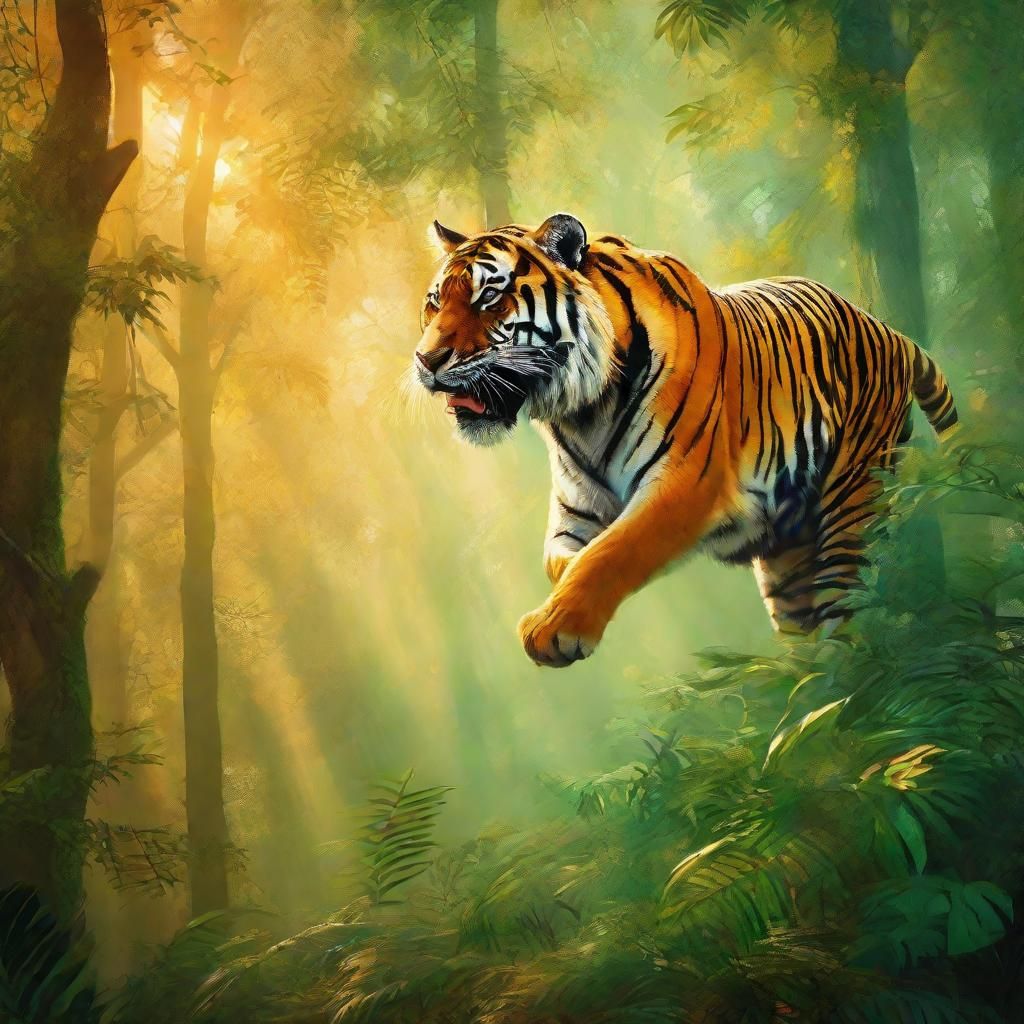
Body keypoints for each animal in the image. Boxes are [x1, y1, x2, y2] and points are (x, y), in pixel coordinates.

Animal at [413, 213, 958, 668]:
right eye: (435, 301)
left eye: (489, 296)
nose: (426, 359)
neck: (580, 411)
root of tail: (886, 329)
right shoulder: (576, 510)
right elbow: (568, 560)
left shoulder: (685, 483)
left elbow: (613, 551)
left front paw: (554, 629)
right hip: (789, 558)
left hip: (852, 503)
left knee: (848, 607)